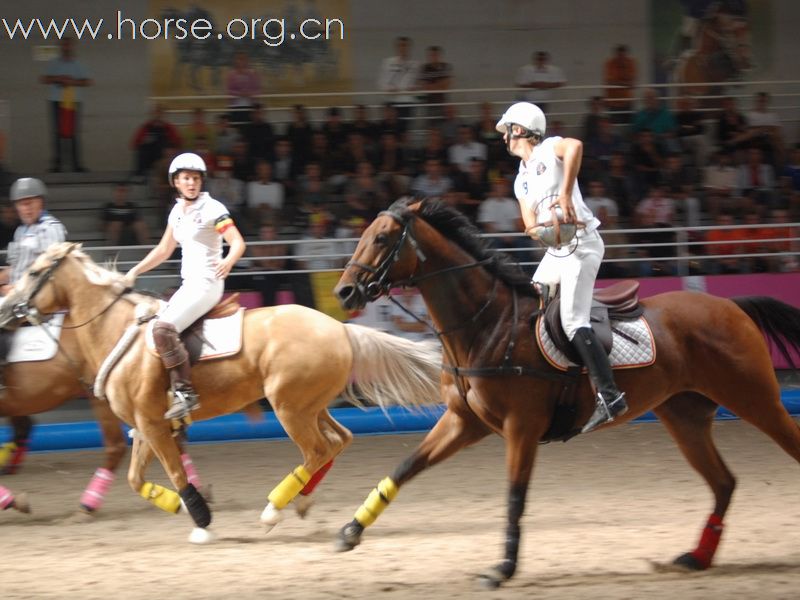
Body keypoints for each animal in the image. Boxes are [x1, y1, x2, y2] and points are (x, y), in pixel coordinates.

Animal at [1, 241, 438, 540]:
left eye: (35, 271)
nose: (7, 308)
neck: (115, 329)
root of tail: (340, 328)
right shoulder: (145, 426)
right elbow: (136, 479)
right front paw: (178, 506)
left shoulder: (152, 425)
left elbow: (175, 472)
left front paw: (201, 521)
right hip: (311, 405)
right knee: (338, 440)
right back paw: (301, 500)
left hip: (290, 408)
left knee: (317, 450)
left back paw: (273, 509)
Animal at [332, 199, 800, 588]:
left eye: (381, 238)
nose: (344, 292)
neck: (486, 326)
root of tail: (732, 307)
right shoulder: (464, 422)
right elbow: (406, 466)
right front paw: (351, 531)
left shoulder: (521, 427)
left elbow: (515, 495)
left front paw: (503, 568)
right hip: (685, 416)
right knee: (723, 482)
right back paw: (696, 557)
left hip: (756, 399)